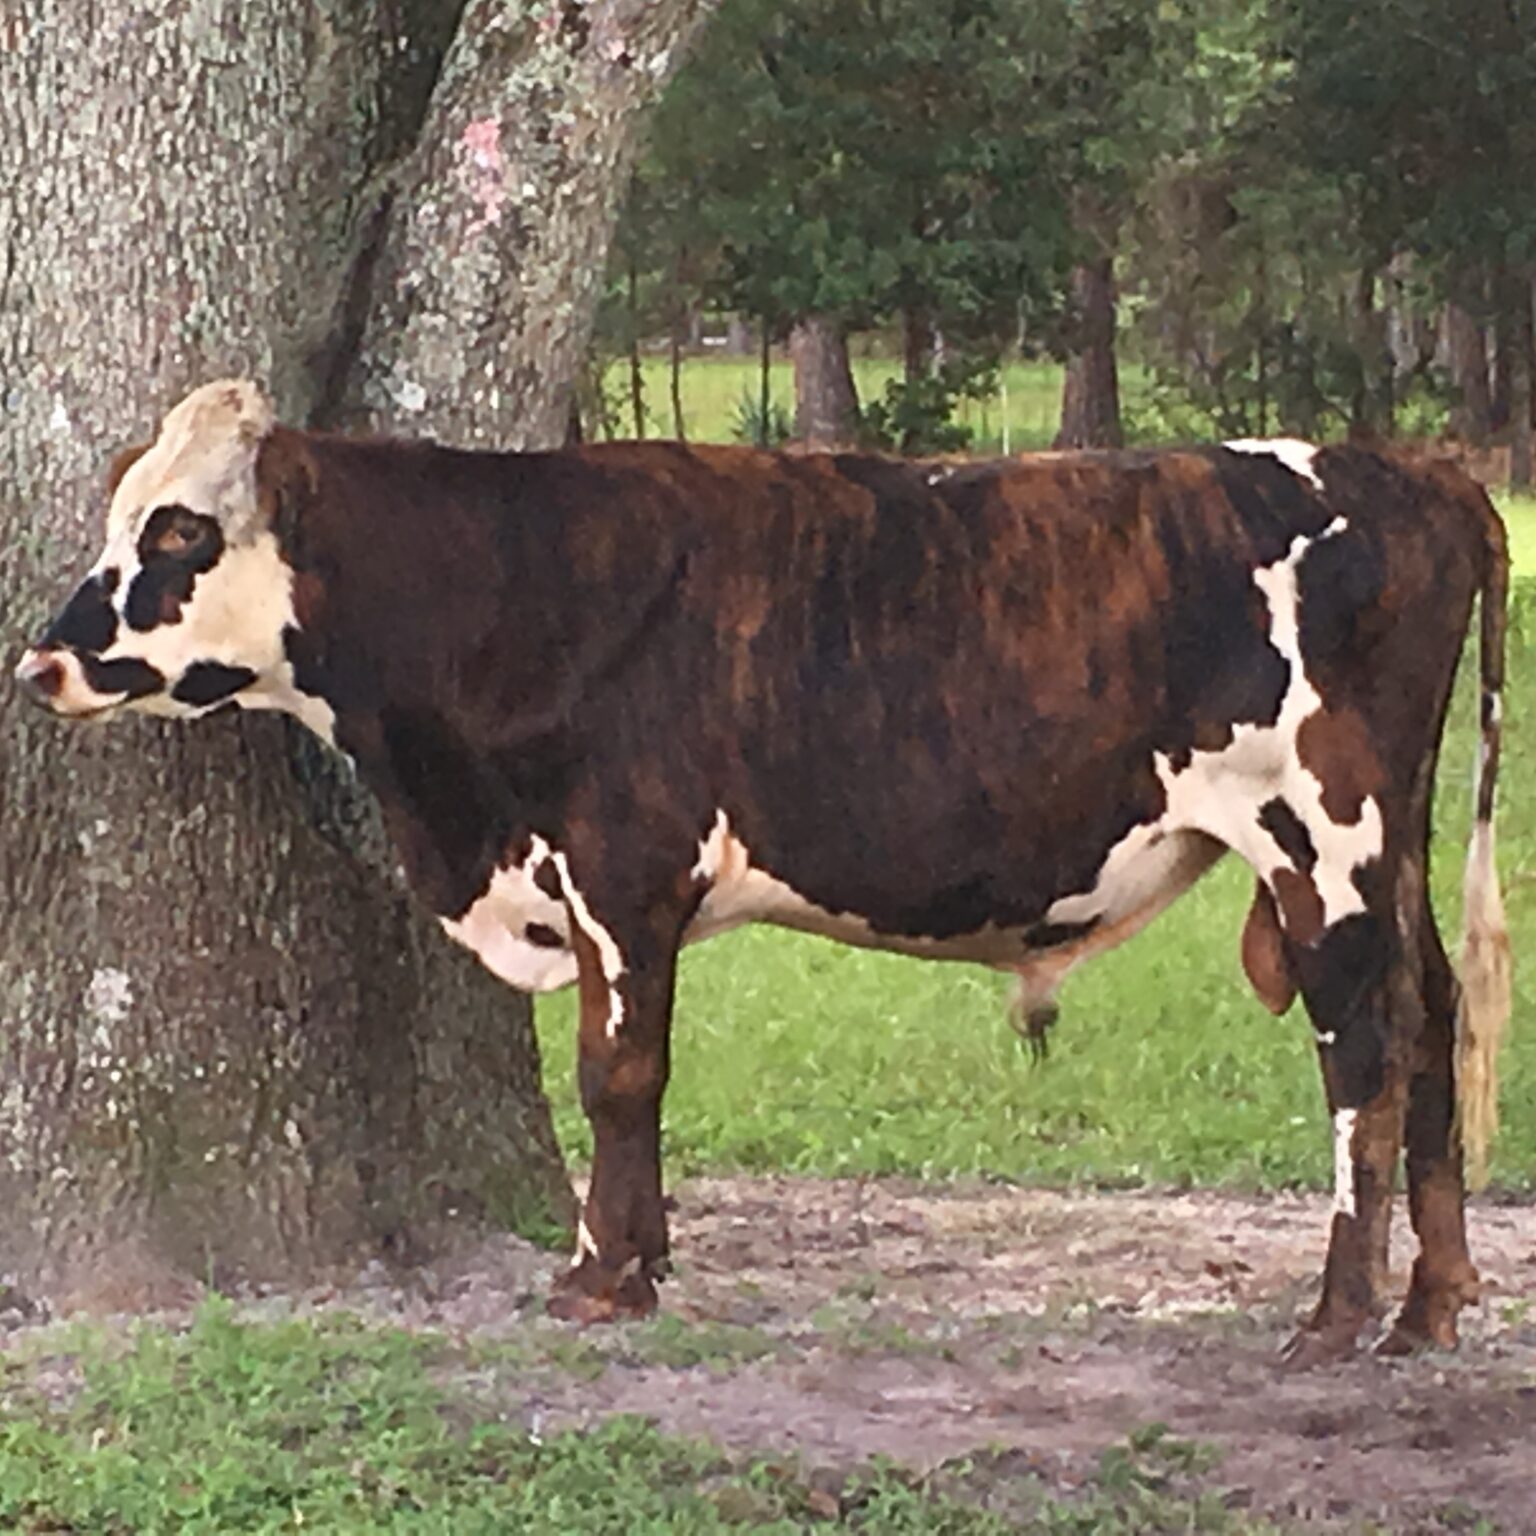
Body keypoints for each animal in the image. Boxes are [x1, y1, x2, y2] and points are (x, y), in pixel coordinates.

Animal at [15, 381, 1510, 1363]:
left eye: (178, 534)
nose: (40, 662)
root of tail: (1411, 472)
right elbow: (627, 1074)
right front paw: (640, 1257)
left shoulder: (622, 869)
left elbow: (616, 1073)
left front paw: (601, 1276)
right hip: (1395, 849)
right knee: (1434, 1020)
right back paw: (1430, 1305)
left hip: (1322, 838)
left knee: (1364, 1052)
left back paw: (1335, 1317)